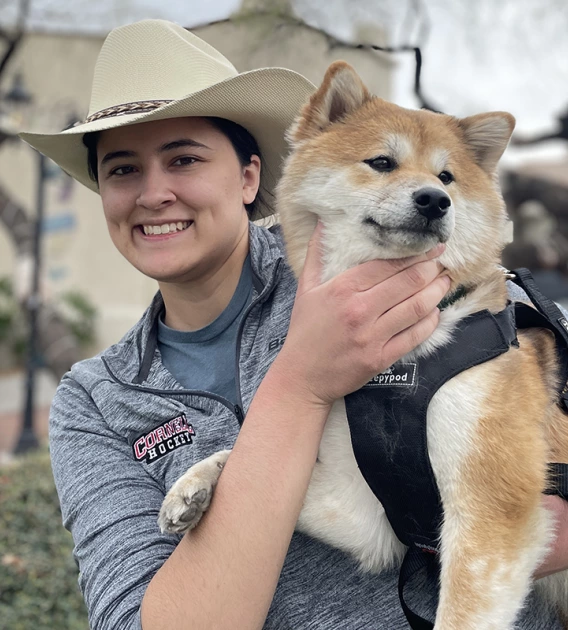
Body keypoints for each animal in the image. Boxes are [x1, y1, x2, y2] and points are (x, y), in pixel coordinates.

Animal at [158, 60, 568, 630]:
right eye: (381, 162)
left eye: (447, 177)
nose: (434, 200)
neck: (400, 363)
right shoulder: (367, 510)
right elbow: (249, 463)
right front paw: (194, 485)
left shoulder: (488, 511)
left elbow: (460, 612)